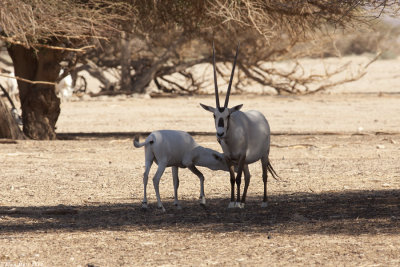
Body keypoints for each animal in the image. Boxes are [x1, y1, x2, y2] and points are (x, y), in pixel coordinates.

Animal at [200, 42, 278, 209]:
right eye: (214, 115)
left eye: (228, 115)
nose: (220, 134)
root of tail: (261, 117)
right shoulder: (229, 158)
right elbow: (232, 178)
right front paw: (232, 202)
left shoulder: (241, 156)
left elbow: (238, 179)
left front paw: (236, 203)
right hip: (247, 161)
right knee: (248, 176)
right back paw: (242, 200)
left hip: (264, 154)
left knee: (264, 175)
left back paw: (263, 201)